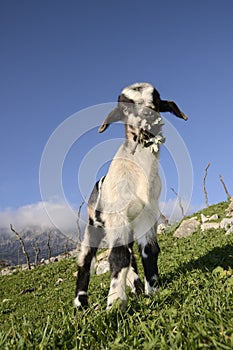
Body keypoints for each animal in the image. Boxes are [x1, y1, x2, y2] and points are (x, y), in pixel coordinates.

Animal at [74, 82, 187, 312]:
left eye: (156, 99)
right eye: (125, 107)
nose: (148, 114)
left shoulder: (148, 214)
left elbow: (149, 250)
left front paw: (153, 292)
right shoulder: (117, 214)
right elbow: (118, 256)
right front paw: (115, 303)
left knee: (131, 254)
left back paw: (136, 288)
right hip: (93, 226)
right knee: (85, 261)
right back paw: (81, 303)